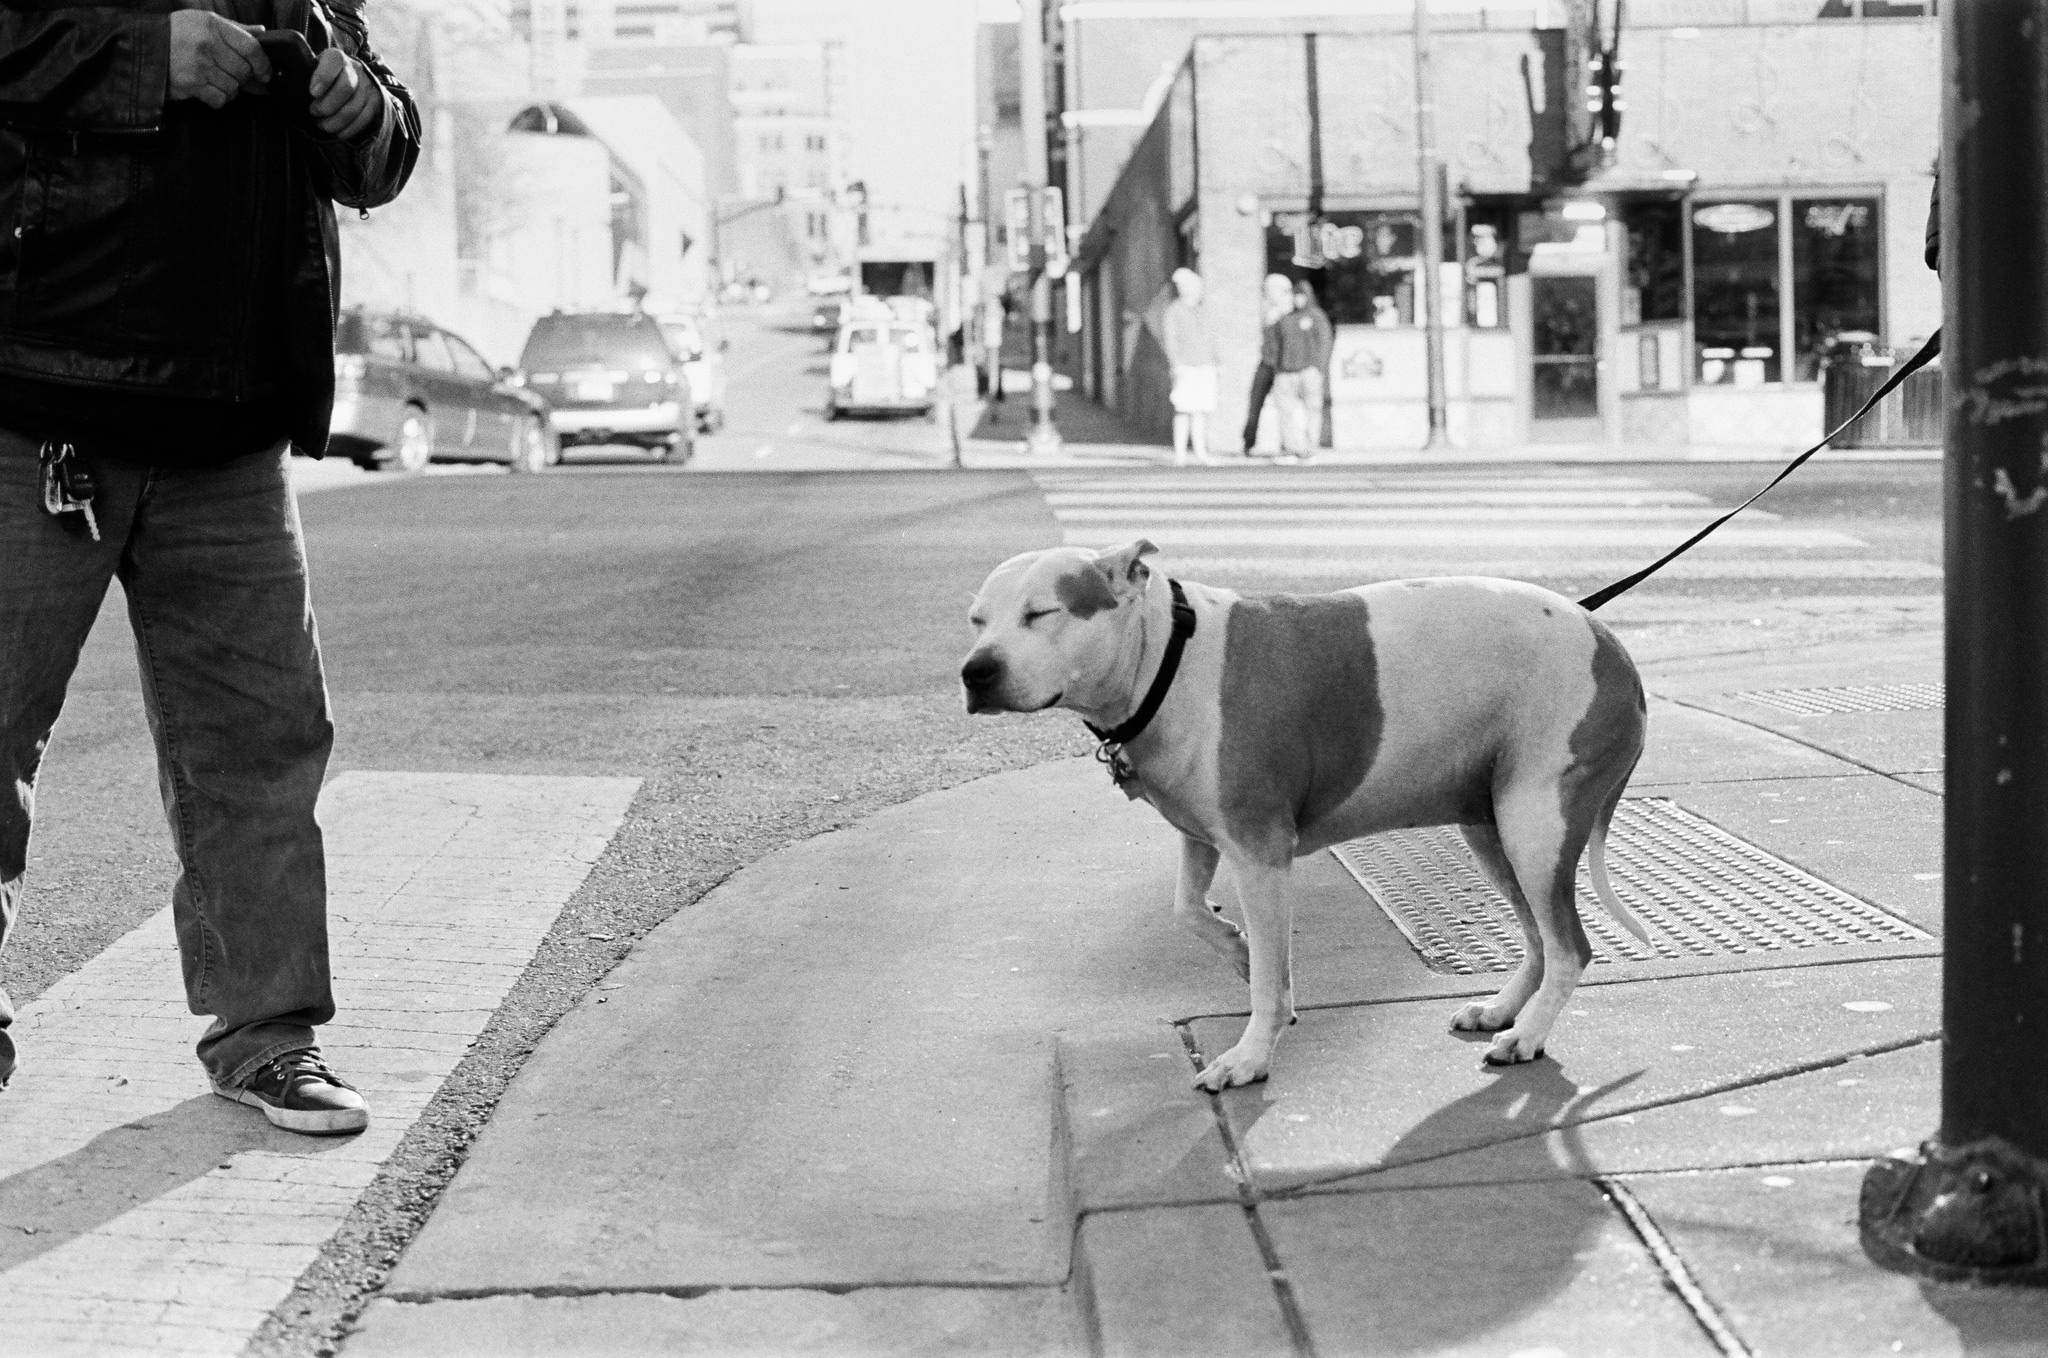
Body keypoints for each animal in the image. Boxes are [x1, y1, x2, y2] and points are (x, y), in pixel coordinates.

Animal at [966, 540, 1654, 1097]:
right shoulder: (1203, 836)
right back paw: (1504, 1012)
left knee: (1569, 946)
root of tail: (1611, 643)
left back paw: (1528, 1035)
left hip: (1535, 825)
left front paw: (1249, 1057)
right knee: (1539, 938)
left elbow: (1269, 984)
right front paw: (1239, 951)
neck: (1166, 658)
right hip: (1493, 828)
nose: (975, 671)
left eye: (1041, 613)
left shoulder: (1260, 856)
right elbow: (1188, 911)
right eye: (976, 621)